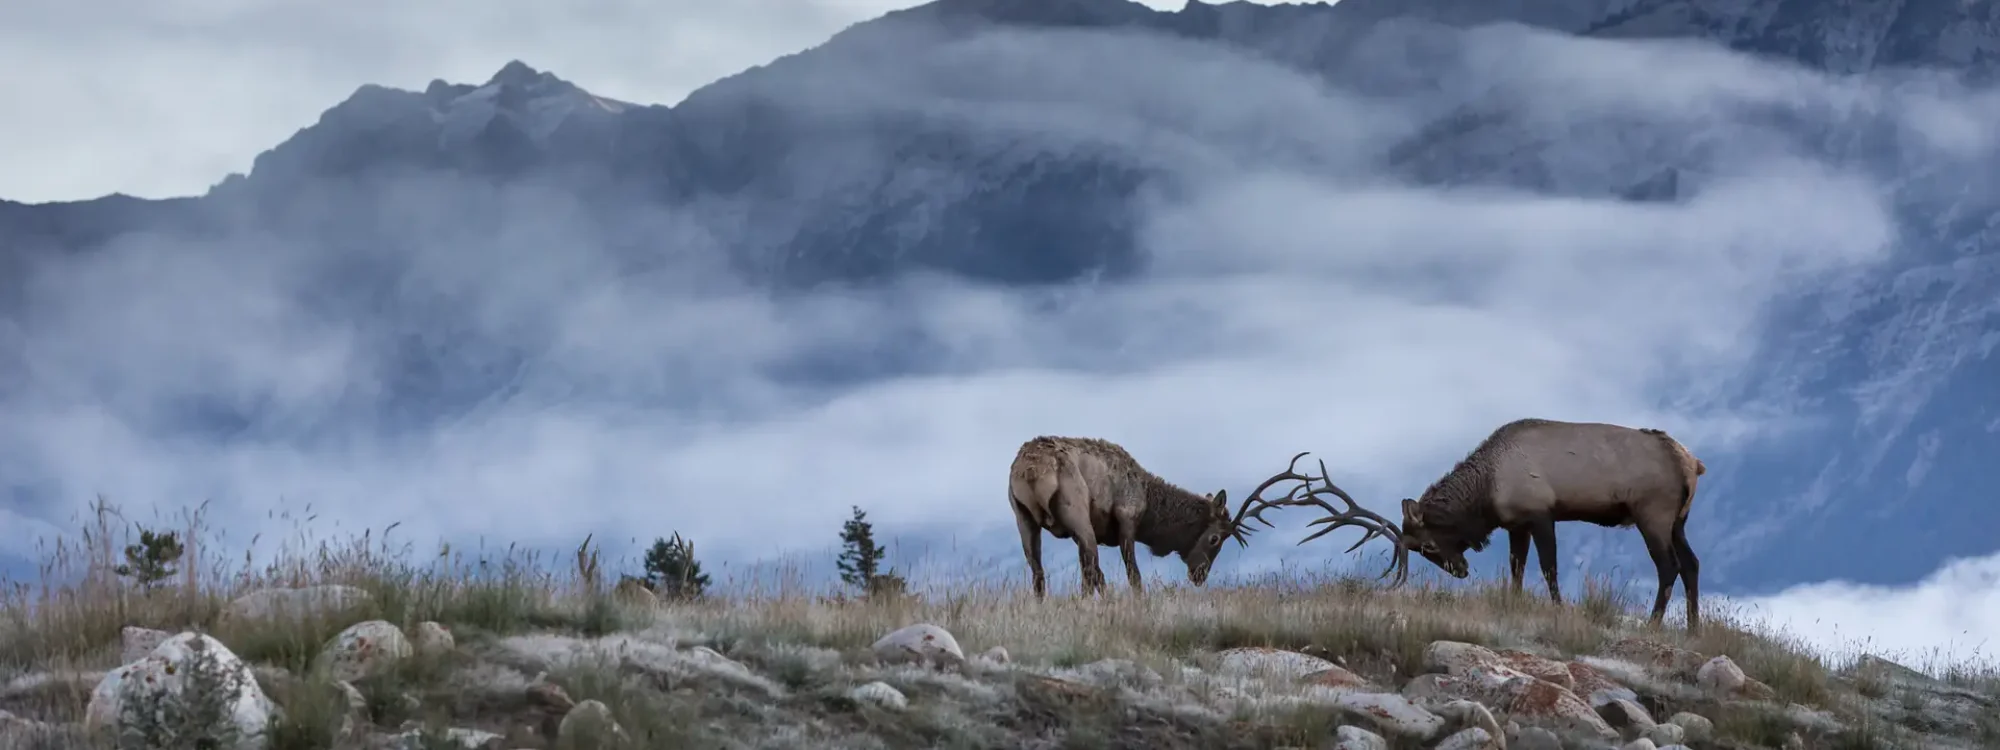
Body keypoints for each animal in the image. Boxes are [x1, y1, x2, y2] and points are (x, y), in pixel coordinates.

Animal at [1007, 436, 1310, 598]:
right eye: (1215, 538)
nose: (1200, 574)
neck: (1150, 508)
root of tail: (1031, 470)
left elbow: (1103, 577)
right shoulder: (1126, 520)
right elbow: (1133, 575)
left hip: (1023, 517)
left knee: (1039, 572)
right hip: (1076, 510)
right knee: (1087, 570)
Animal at [1288, 418, 1710, 631]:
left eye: (1426, 545)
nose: (1460, 570)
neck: (1486, 493)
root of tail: (1692, 462)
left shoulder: (1541, 512)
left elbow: (1548, 567)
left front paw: (1558, 610)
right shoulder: (1516, 524)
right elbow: (1517, 570)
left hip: (1652, 512)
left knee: (1669, 566)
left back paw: (1653, 625)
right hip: (1679, 520)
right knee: (1692, 563)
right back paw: (1693, 629)